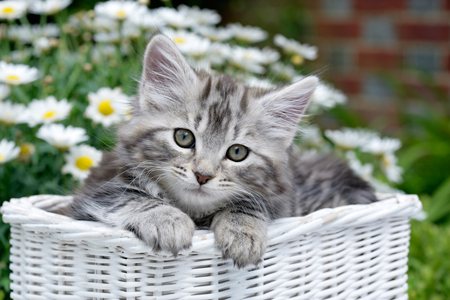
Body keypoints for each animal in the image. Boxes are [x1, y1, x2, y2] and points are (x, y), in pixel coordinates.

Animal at [68, 34, 374, 268]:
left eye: (237, 152)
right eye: (183, 137)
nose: (202, 176)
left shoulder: (281, 200)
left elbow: (248, 204)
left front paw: (242, 233)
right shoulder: (93, 191)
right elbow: (130, 195)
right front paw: (168, 220)